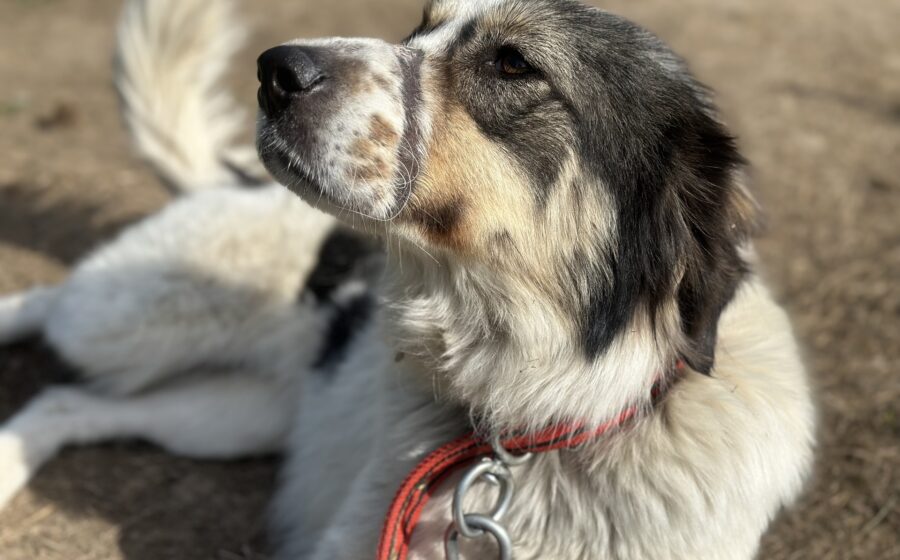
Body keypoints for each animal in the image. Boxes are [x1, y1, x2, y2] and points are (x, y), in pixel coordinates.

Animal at [0, 0, 815, 558]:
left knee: (72, 405)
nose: (274, 71)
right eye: (417, 27)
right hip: (136, 317)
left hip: (230, 416)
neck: (524, 423)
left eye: (512, 63)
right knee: (48, 306)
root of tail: (231, 178)